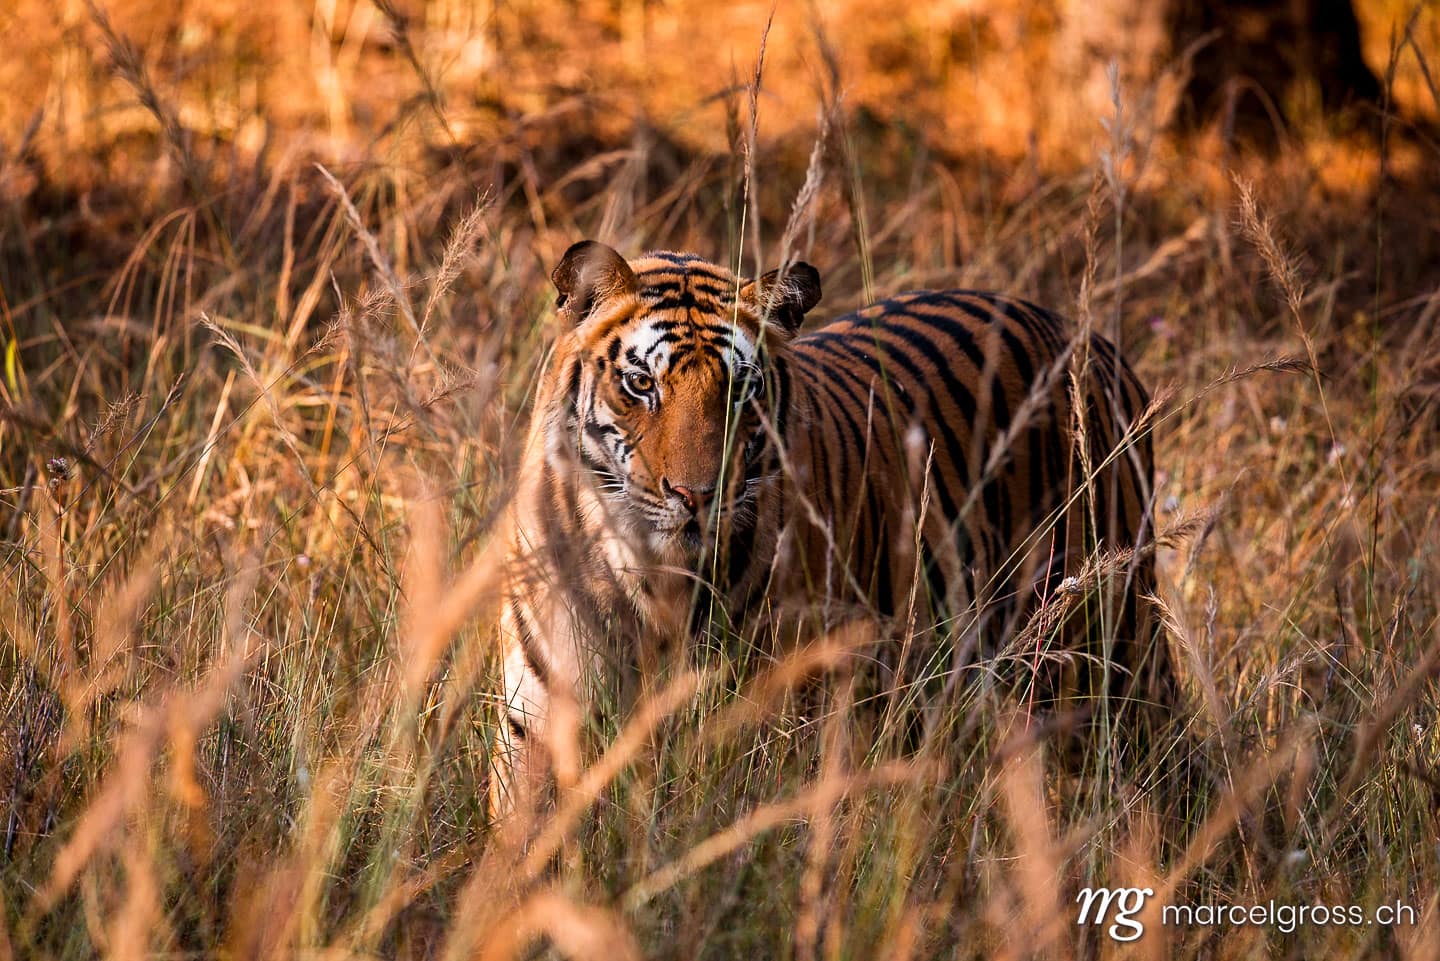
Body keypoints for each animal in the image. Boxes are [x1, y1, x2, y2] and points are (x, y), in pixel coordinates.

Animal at [489, 240, 1172, 817]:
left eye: (741, 392)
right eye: (640, 384)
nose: (696, 496)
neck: (648, 573)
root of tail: (1091, 340)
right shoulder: (539, 716)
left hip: (1109, 648)